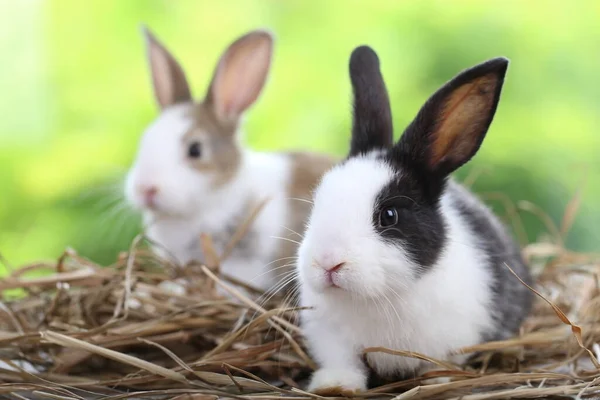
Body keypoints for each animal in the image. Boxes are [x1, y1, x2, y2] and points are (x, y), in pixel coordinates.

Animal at [296, 44, 536, 394]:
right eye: (317, 201)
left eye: (389, 215)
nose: (328, 262)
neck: (377, 298)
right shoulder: (331, 338)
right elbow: (344, 363)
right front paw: (335, 386)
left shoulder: (450, 340)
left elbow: (435, 364)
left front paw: (436, 382)